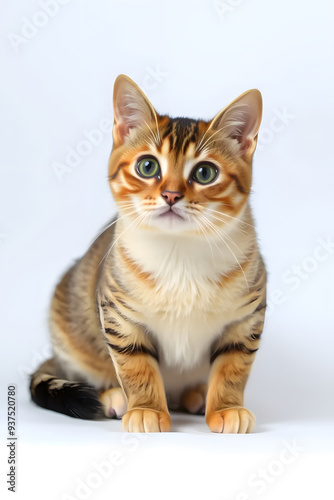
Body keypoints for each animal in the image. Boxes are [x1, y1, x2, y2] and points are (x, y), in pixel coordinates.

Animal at [30, 74, 266, 434]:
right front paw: (146, 409)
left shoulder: (247, 317)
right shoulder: (117, 314)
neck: (180, 253)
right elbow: (136, 366)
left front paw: (227, 407)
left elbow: (233, 366)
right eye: (147, 166)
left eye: (205, 173)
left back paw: (198, 394)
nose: (170, 194)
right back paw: (114, 396)